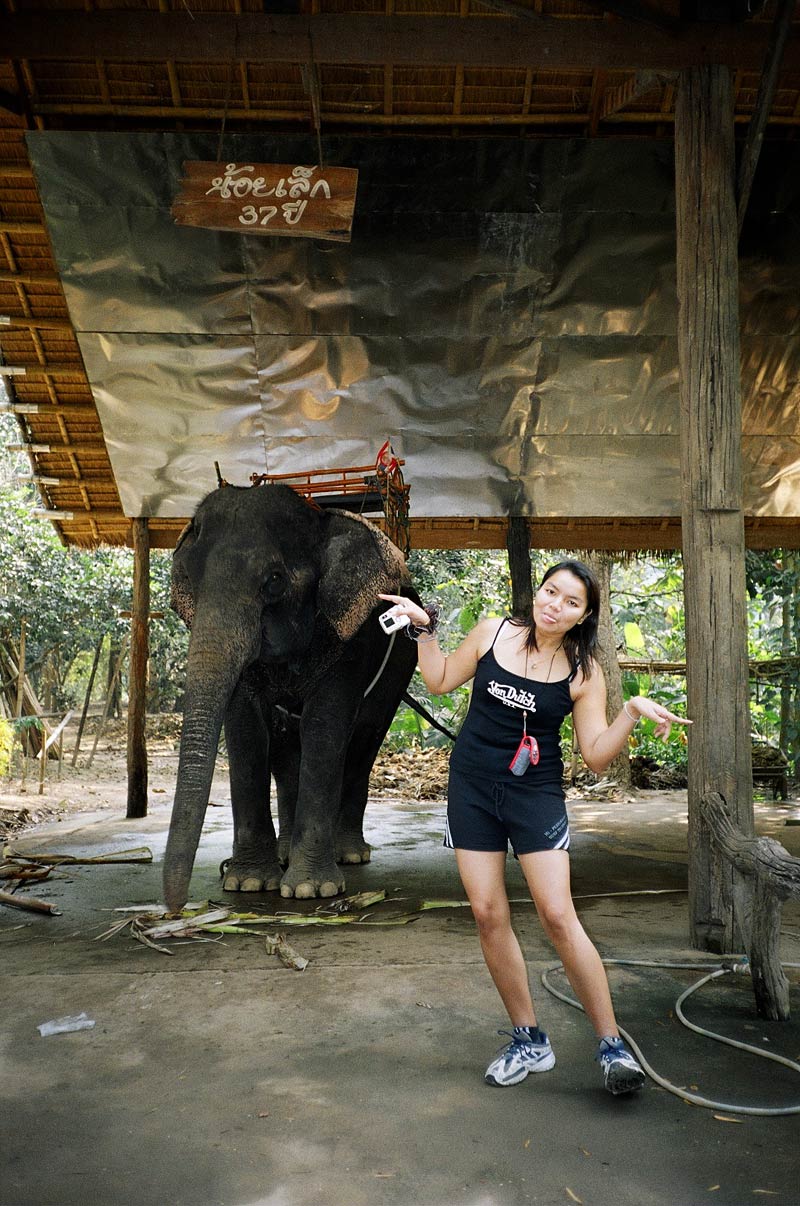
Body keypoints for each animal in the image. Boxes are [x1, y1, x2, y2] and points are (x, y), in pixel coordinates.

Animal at [165, 479, 422, 911]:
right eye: (191, 581)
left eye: (273, 580)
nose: (175, 907)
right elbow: (246, 729)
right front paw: (248, 883)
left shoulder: (349, 635)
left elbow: (325, 725)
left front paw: (310, 890)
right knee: (287, 754)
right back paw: (286, 853)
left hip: (399, 666)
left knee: (364, 741)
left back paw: (350, 853)